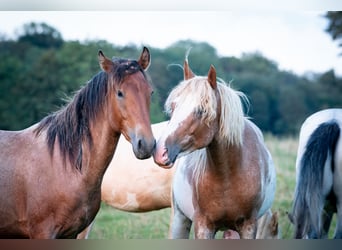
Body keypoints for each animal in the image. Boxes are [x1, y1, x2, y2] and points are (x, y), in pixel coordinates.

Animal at [0, 47, 155, 238]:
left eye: (150, 92)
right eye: (119, 93)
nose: (146, 144)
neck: (64, 164)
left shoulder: (71, 233)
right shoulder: (42, 233)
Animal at [152, 58, 276, 238]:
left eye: (202, 110)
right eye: (174, 107)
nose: (160, 151)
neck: (228, 175)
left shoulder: (248, 226)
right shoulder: (204, 226)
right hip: (179, 219)